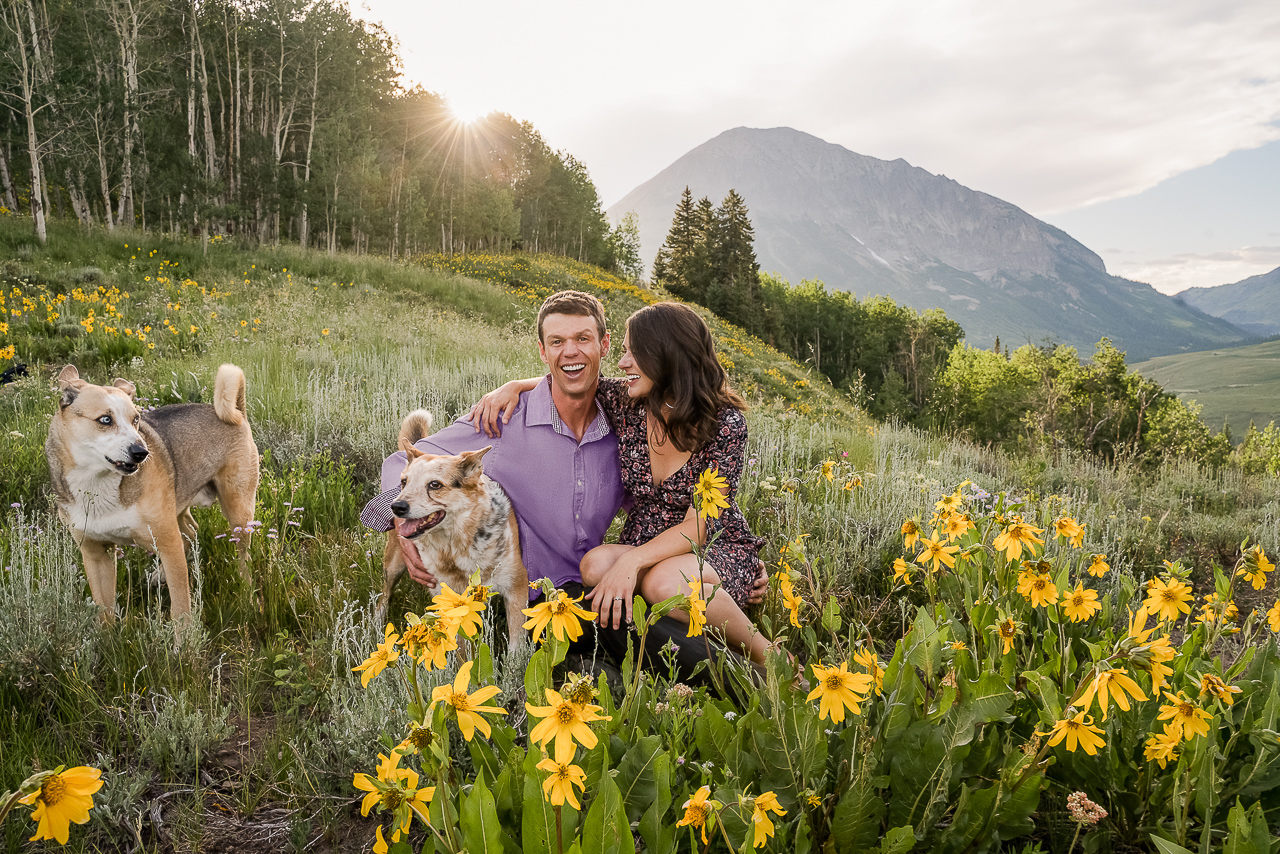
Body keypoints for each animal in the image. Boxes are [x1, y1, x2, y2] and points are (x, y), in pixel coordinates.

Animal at [45, 361, 259, 627]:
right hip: (177, 507)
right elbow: (104, 610)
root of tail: (237, 413)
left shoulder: (168, 542)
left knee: (242, 556)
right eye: (105, 419)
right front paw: (105, 636)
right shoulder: (95, 554)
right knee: (190, 532)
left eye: (136, 419)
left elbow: (181, 609)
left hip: (237, 512)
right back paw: (162, 574)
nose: (141, 452)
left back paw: (247, 594)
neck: (96, 484)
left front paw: (185, 638)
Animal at [376, 412, 527, 647]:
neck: (456, 546)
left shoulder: (517, 587)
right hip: (393, 564)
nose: (397, 507)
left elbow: (517, 649)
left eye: (434, 485)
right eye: (404, 482)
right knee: (383, 597)